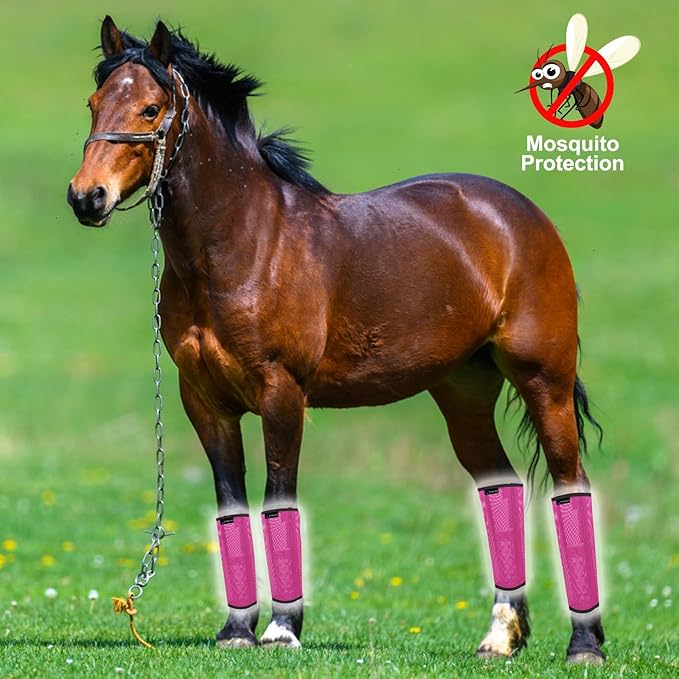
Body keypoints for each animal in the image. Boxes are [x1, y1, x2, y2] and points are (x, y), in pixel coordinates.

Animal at [68, 17, 606, 664]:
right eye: (94, 103)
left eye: (151, 109)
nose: (86, 197)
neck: (244, 243)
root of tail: (519, 213)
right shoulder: (204, 402)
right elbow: (230, 507)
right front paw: (236, 631)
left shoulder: (281, 394)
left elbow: (278, 498)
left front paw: (281, 629)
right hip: (463, 390)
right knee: (499, 485)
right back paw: (500, 636)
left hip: (543, 380)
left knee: (570, 485)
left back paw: (584, 643)